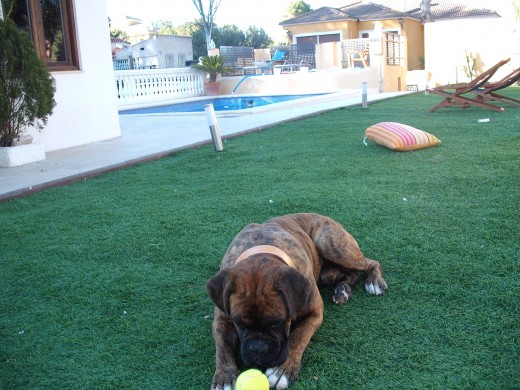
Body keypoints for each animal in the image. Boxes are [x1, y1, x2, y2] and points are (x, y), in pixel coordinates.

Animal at [205, 213, 388, 390]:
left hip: (331, 244)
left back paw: (373, 281)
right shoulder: (221, 320)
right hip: (329, 272)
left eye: (277, 324)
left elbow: (299, 336)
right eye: (239, 324)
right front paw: (224, 376)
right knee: (352, 273)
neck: (262, 248)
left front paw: (283, 370)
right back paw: (343, 290)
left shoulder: (315, 312)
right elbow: (222, 346)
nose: (258, 349)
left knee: (371, 263)